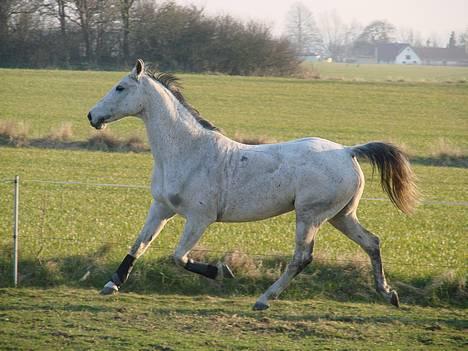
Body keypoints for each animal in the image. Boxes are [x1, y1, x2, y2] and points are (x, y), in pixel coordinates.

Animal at [88, 60, 416, 310]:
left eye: (120, 87)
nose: (92, 116)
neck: (187, 151)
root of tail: (348, 151)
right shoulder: (161, 208)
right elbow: (139, 244)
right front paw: (111, 284)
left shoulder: (199, 218)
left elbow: (178, 256)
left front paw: (221, 271)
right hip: (341, 216)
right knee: (372, 242)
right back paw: (389, 294)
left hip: (310, 215)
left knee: (302, 257)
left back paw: (264, 300)